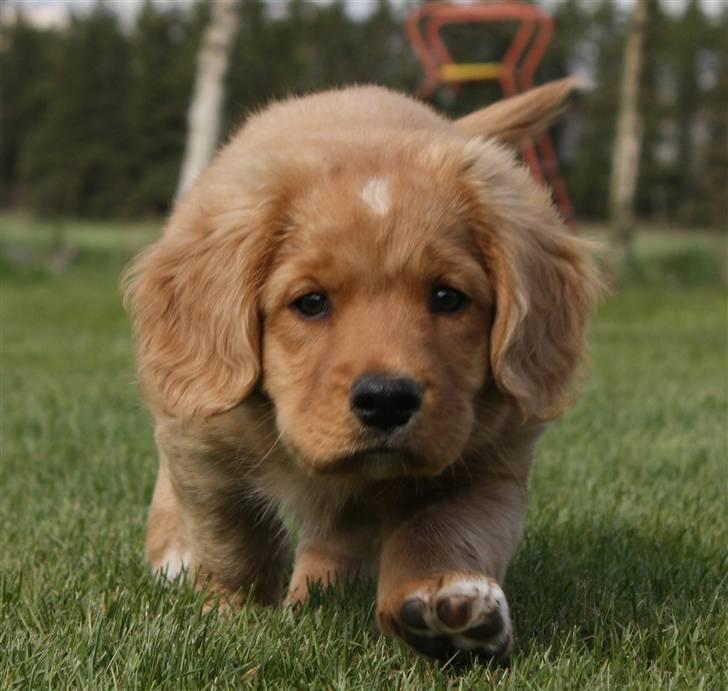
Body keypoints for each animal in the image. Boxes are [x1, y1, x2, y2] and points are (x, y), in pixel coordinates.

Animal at [125, 78, 600, 664]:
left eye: (448, 298)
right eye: (310, 303)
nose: (387, 400)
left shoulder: (487, 464)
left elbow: (442, 530)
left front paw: (446, 601)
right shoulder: (203, 442)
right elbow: (233, 534)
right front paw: (235, 615)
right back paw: (174, 556)